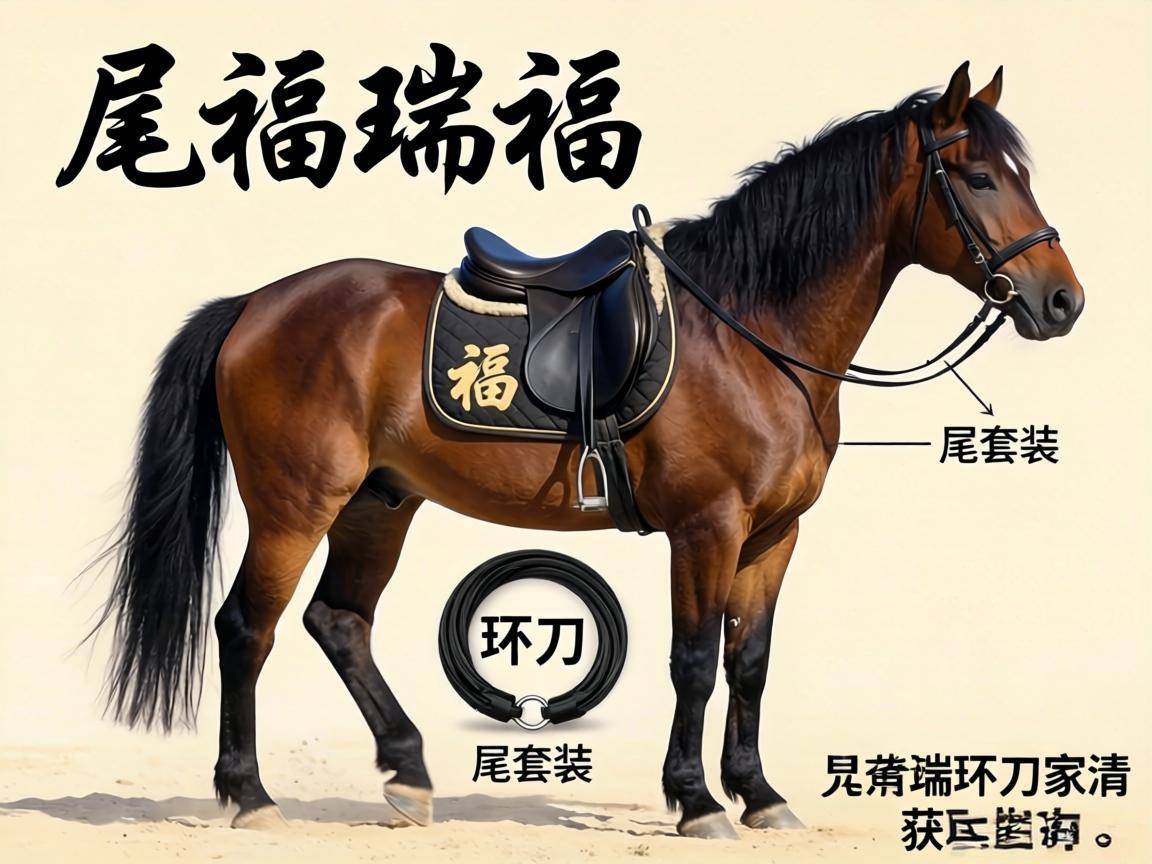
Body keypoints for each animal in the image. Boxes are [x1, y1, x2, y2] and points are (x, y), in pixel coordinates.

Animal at [92, 62, 1084, 839]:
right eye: (979, 177)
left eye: (1018, 175)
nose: (1062, 301)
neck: (751, 331)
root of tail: (257, 304)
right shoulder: (706, 529)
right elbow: (694, 662)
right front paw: (698, 803)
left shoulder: (773, 536)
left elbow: (750, 663)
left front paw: (759, 795)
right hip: (296, 505)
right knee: (246, 627)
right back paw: (250, 794)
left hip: (379, 502)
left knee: (339, 623)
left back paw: (408, 775)